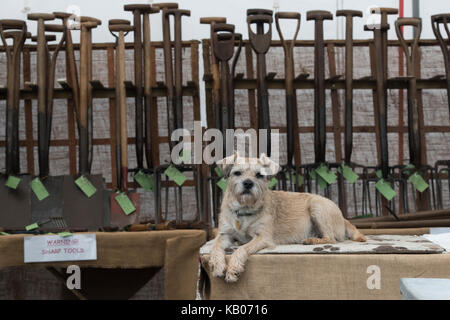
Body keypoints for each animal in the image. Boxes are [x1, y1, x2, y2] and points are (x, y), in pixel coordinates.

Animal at [209, 154, 368, 282]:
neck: (244, 208)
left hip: (316, 206)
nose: (248, 183)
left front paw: (233, 268)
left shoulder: (263, 238)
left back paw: (312, 241)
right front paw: (217, 265)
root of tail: (342, 217)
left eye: (259, 175)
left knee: (331, 238)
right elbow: (215, 247)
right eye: (237, 173)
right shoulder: (224, 234)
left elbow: (242, 249)